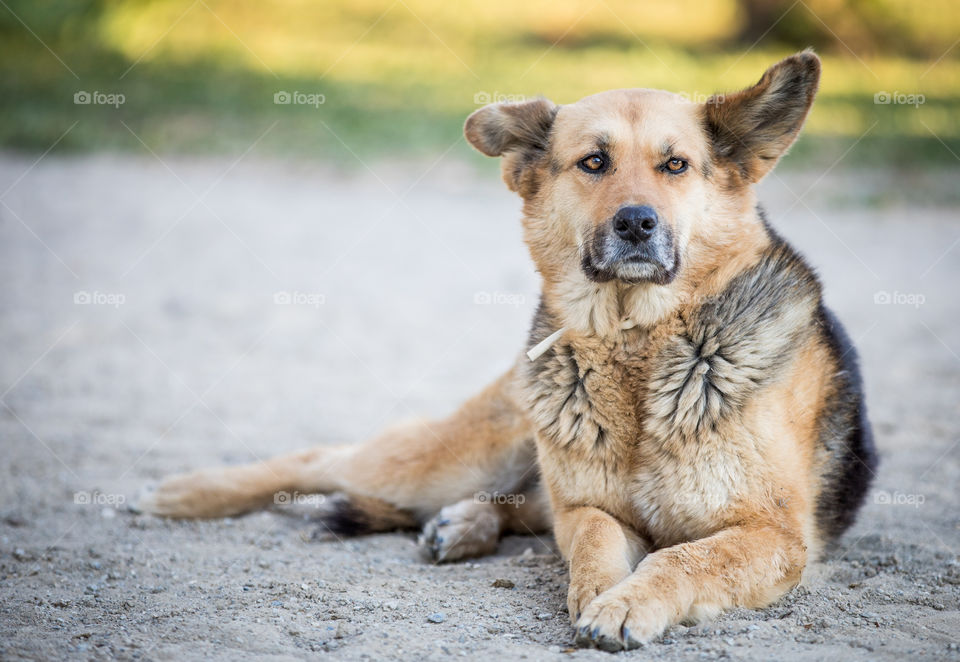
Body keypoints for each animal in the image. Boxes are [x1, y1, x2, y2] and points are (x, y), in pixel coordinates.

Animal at [137, 52, 876, 652]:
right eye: (594, 162)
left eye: (676, 165)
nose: (637, 222)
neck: (639, 345)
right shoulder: (589, 509)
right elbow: (593, 541)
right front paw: (599, 592)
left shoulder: (774, 536)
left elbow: (681, 558)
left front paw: (626, 603)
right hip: (459, 454)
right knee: (327, 460)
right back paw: (185, 492)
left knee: (512, 506)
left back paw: (462, 525)